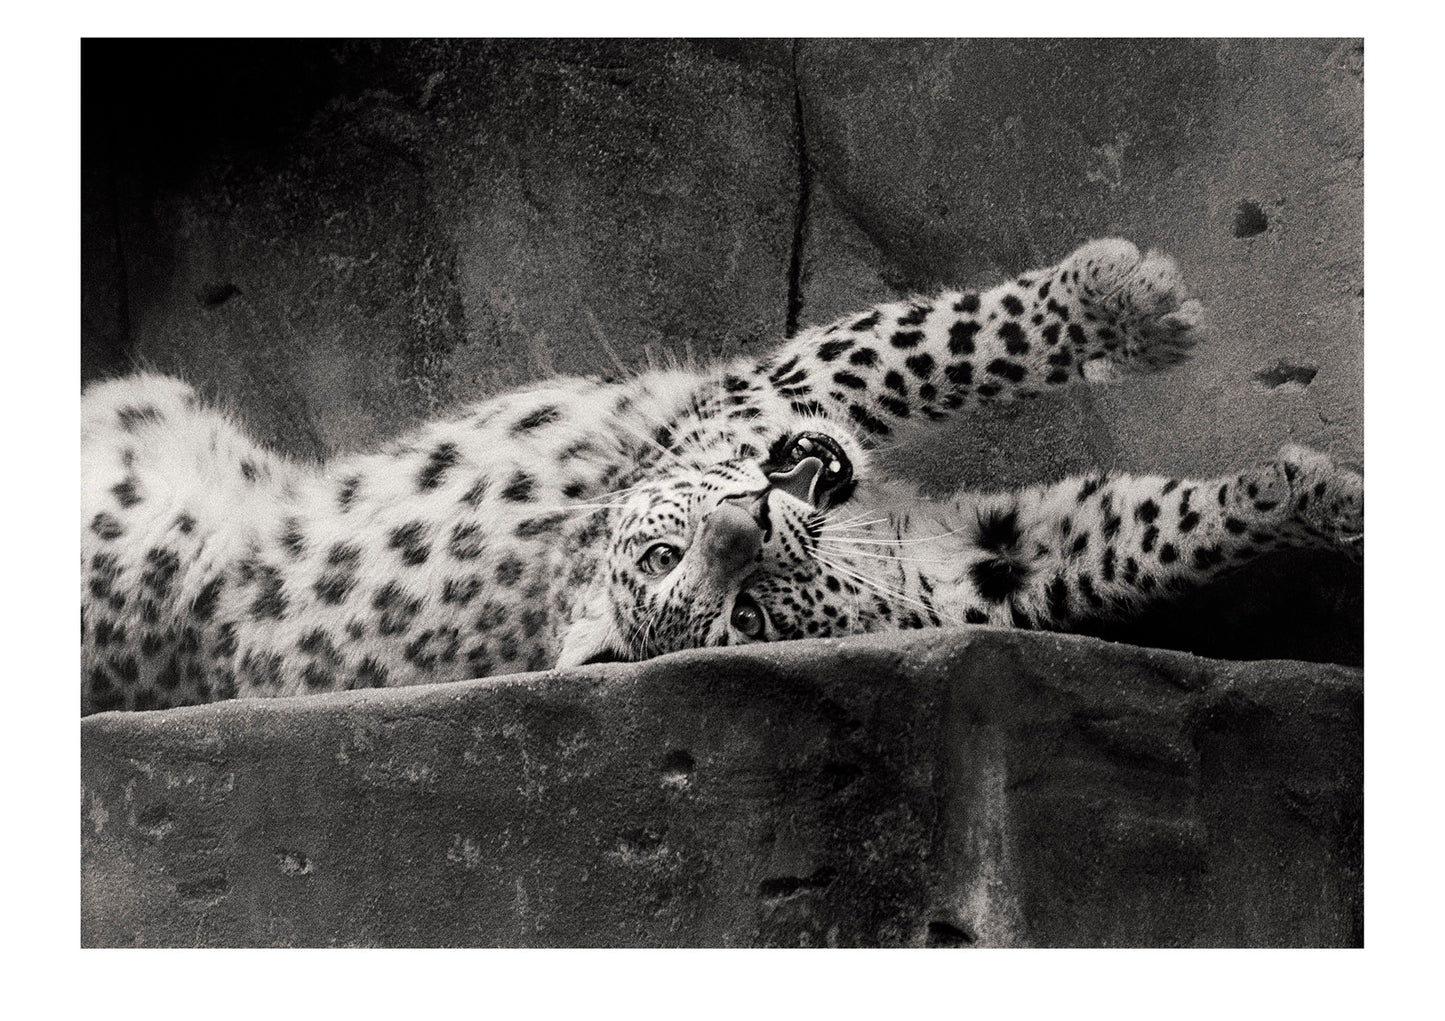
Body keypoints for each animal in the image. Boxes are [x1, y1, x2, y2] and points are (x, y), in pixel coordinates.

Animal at [81, 238, 1364, 714]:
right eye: (738, 611)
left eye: (664, 552)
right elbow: (932, 346)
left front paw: (1308, 493)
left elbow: (1149, 520)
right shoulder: (783, 402)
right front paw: (1122, 296)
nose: (747, 515)